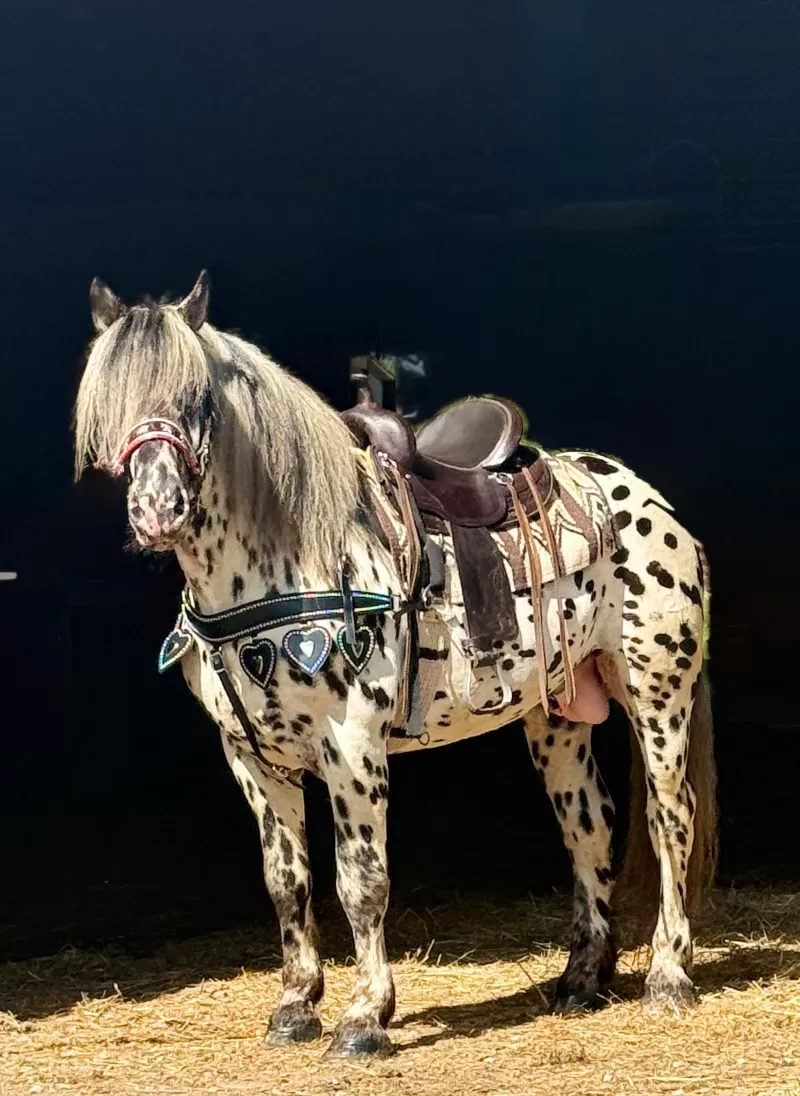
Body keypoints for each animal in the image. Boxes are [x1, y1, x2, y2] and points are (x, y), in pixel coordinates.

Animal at [74, 272, 718, 1059]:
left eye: (197, 397)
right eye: (112, 402)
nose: (156, 508)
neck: (290, 553)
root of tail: (651, 502)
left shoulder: (352, 744)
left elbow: (361, 882)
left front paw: (363, 1018)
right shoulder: (252, 757)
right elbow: (286, 880)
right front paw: (295, 1007)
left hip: (659, 696)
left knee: (670, 819)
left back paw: (669, 977)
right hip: (557, 718)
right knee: (589, 826)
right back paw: (580, 981)